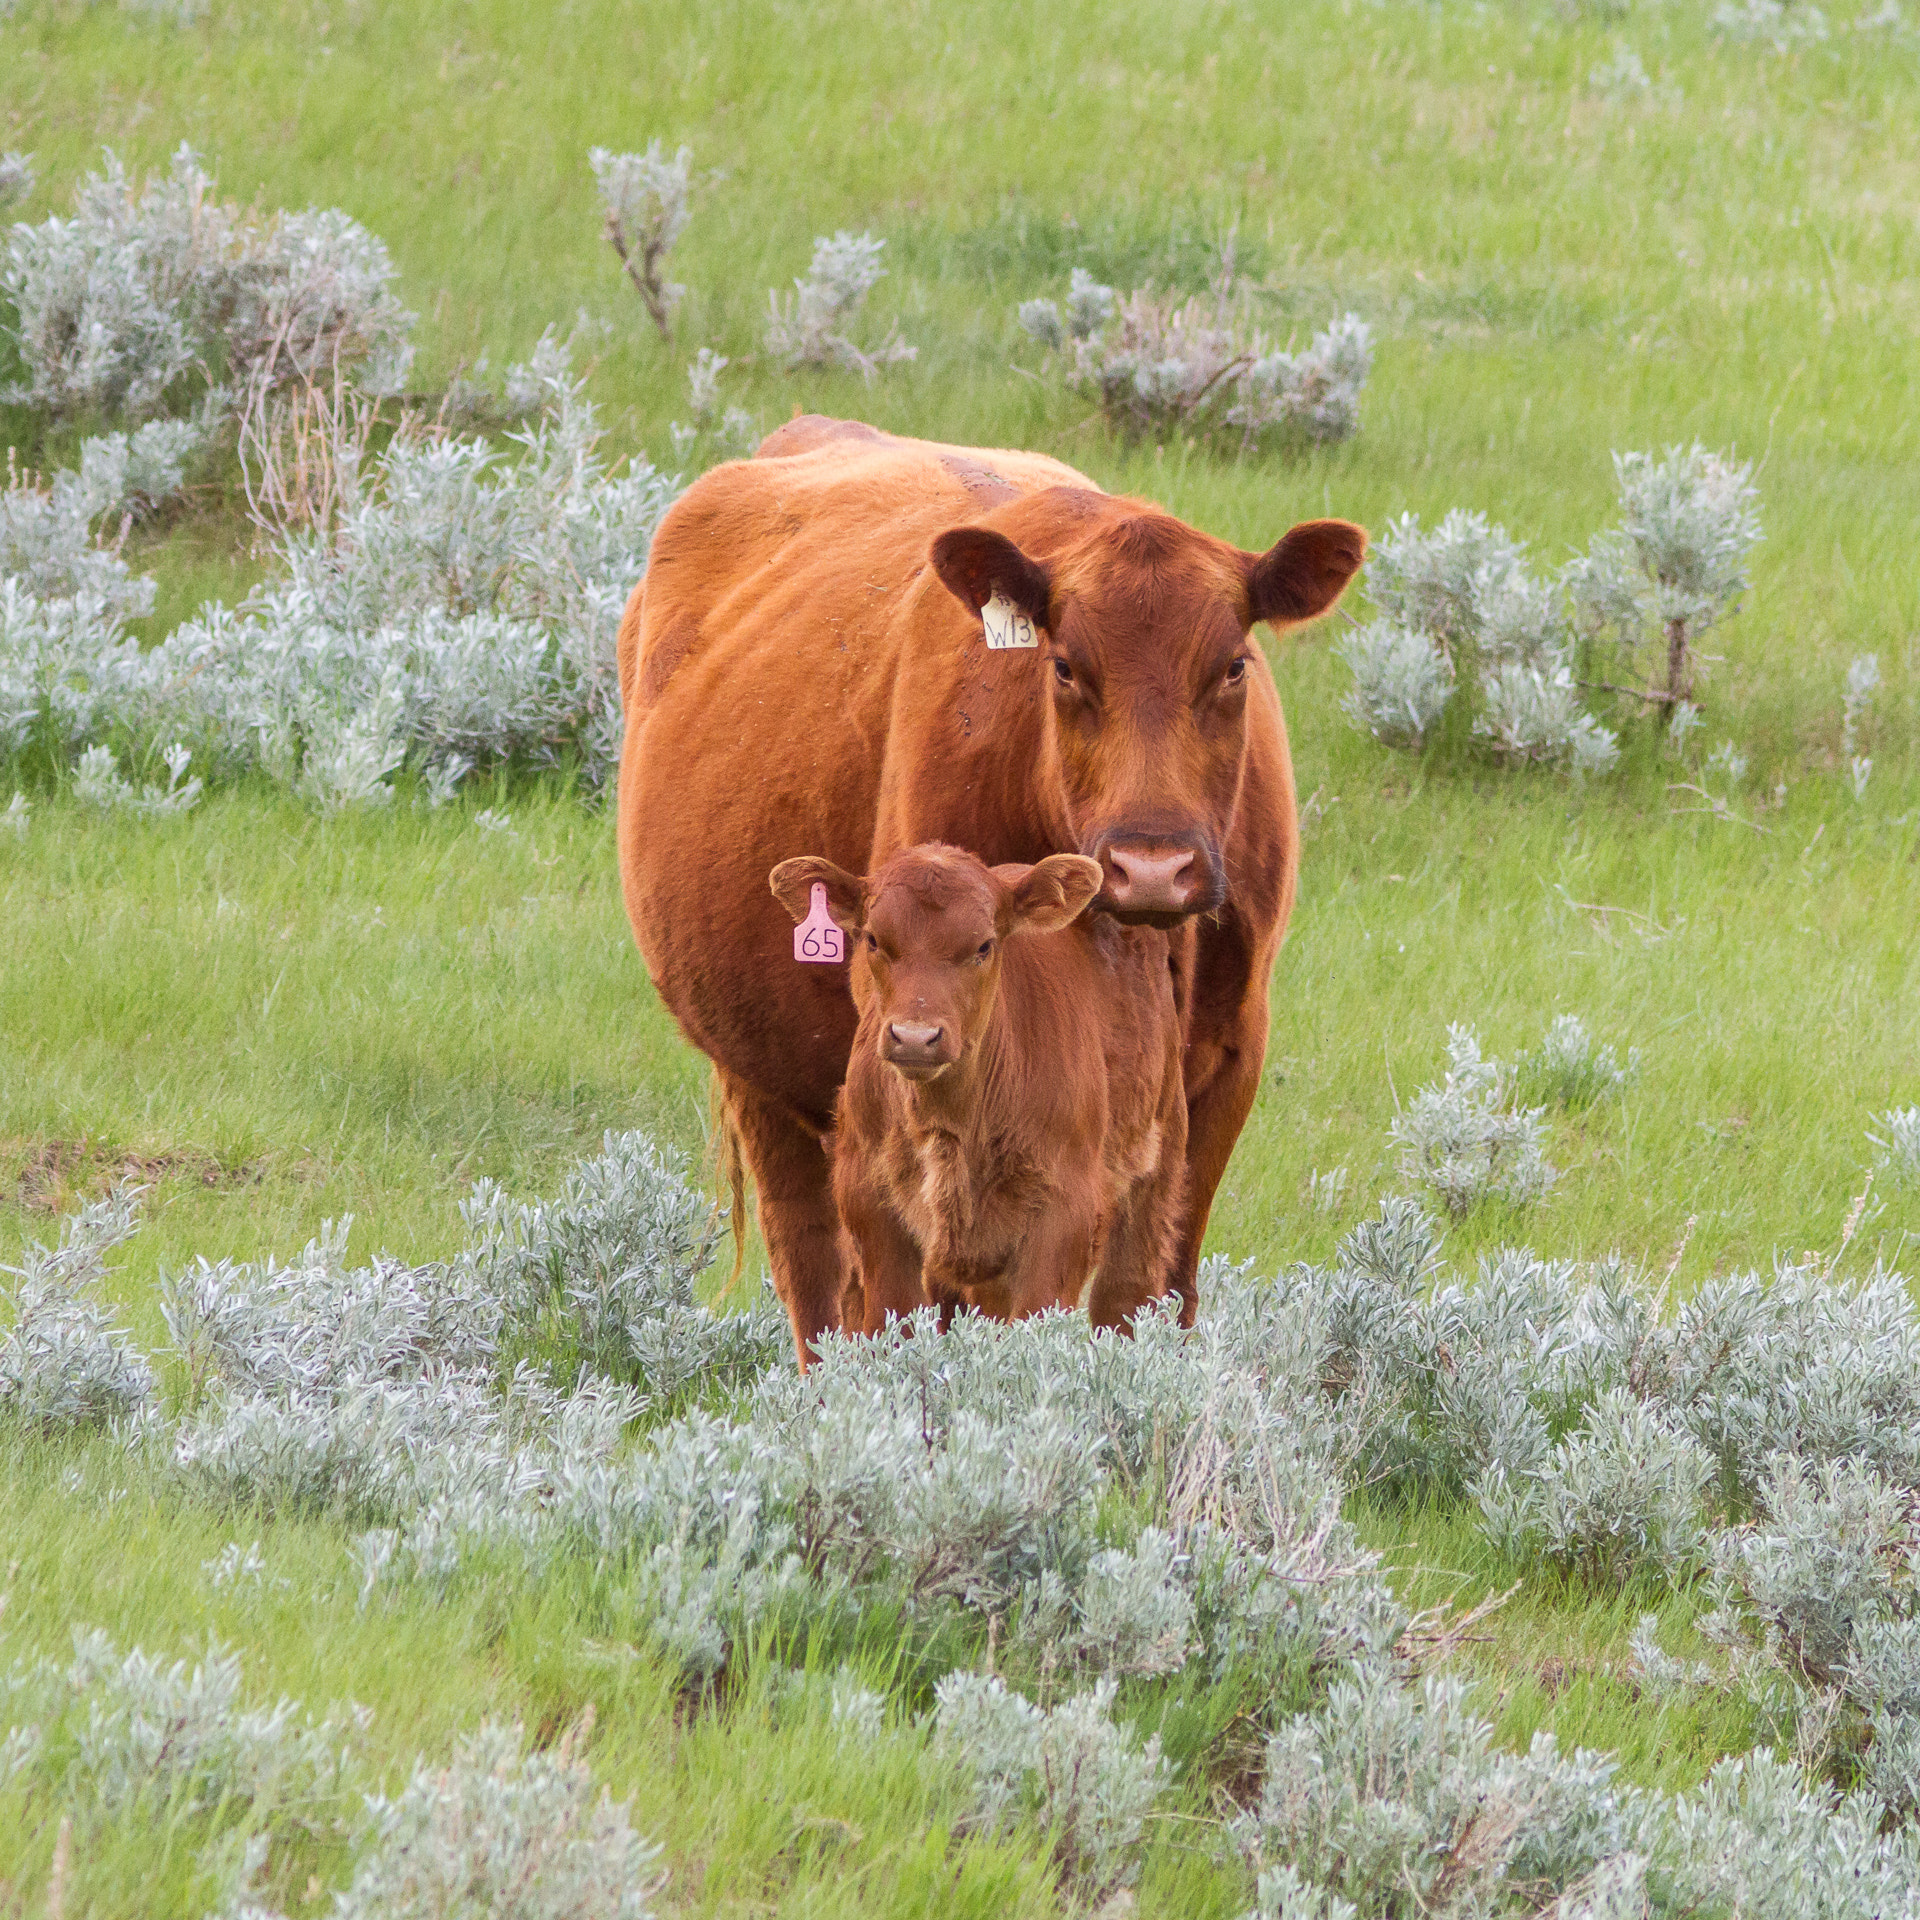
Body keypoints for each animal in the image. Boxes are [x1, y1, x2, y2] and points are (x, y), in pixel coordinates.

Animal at [770, 843, 1186, 1332]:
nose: (916, 1036)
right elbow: (895, 1320)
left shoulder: (1068, 1208)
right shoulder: (866, 1197)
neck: (954, 1124)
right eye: (873, 939)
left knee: (1123, 1299)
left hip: (1155, 1173)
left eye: (984, 946)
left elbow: (1039, 1321)